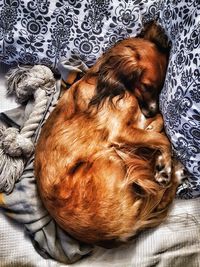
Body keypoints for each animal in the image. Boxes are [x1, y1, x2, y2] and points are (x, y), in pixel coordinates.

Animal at [34, 22, 184, 249]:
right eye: (146, 86)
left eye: (160, 88)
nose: (150, 110)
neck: (108, 83)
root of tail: (121, 230)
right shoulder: (119, 132)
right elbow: (162, 138)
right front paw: (164, 165)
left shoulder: (137, 122)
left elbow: (158, 126)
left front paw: (157, 145)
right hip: (109, 156)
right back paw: (172, 172)